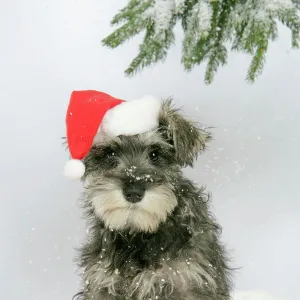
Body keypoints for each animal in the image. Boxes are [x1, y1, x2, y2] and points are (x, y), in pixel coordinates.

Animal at [71, 99, 233, 300]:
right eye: (110, 153)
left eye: (155, 153)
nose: (133, 193)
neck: (139, 235)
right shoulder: (102, 284)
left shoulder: (190, 281)